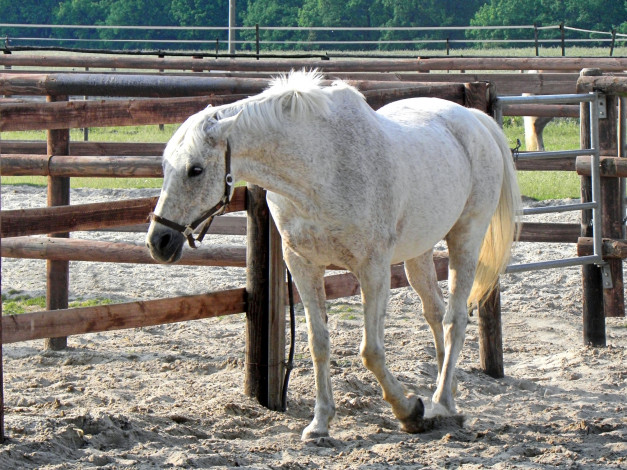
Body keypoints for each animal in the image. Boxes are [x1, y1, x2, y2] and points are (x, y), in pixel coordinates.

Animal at [146, 70, 520, 440]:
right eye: (165, 166)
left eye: (195, 169)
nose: (159, 241)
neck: (320, 168)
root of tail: (472, 118)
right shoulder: (302, 265)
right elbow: (319, 343)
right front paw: (320, 423)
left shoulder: (372, 269)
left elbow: (371, 351)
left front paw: (409, 412)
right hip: (419, 252)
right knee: (435, 313)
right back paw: (449, 396)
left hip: (465, 238)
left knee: (454, 319)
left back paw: (440, 403)